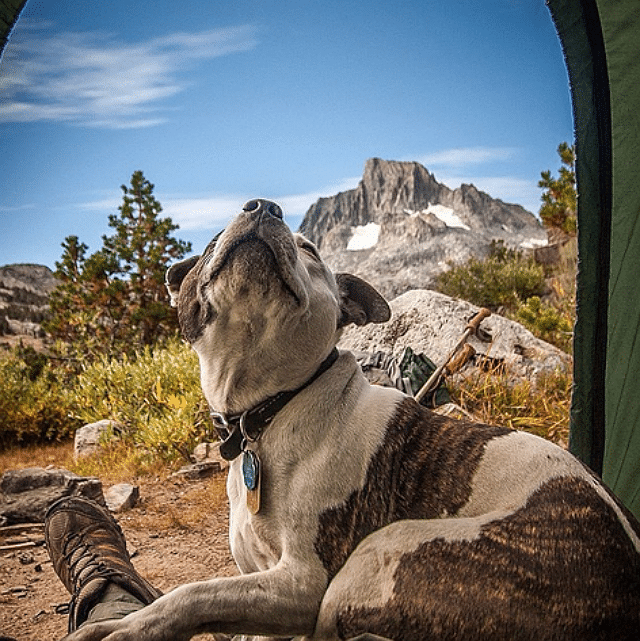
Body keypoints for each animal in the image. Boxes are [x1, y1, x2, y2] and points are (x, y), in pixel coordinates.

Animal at [67, 199, 640, 640]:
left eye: (311, 250)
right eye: (209, 242)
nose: (263, 206)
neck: (269, 411)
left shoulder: (302, 584)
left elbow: (192, 594)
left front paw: (126, 627)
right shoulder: (260, 579)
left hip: (374, 563)